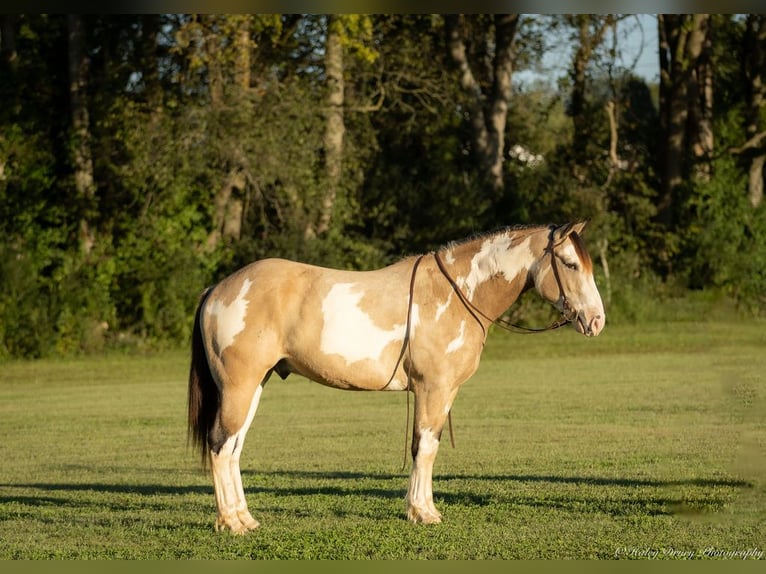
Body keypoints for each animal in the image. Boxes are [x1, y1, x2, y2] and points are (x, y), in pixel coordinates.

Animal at [186, 222, 608, 536]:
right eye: (570, 264)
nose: (596, 321)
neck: (456, 293)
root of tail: (217, 289)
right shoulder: (432, 389)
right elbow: (425, 448)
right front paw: (423, 512)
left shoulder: (444, 391)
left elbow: (427, 446)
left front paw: (421, 508)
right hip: (239, 387)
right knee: (221, 445)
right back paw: (231, 522)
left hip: (254, 387)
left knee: (234, 448)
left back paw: (244, 517)